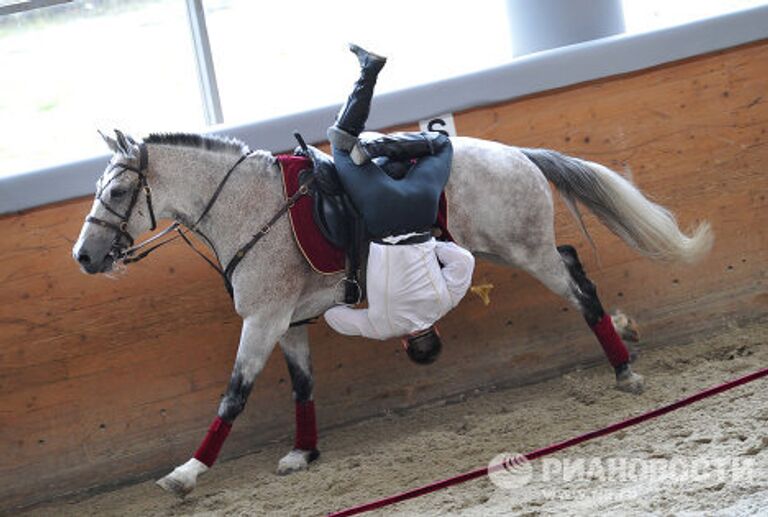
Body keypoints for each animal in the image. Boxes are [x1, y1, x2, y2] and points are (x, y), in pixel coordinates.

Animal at [73, 129, 712, 496]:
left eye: (116, 193)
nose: (84, 256)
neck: (250, 207)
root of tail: (518, 154)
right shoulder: (287, 322)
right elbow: (303, 387)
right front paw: (303, 453)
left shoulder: (262, 320)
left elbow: (234, 395)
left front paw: (187, 473)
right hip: (510, 248)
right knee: (575, 262)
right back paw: (625, 342)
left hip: (524, 250)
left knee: (580, 288)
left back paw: (624, 368)